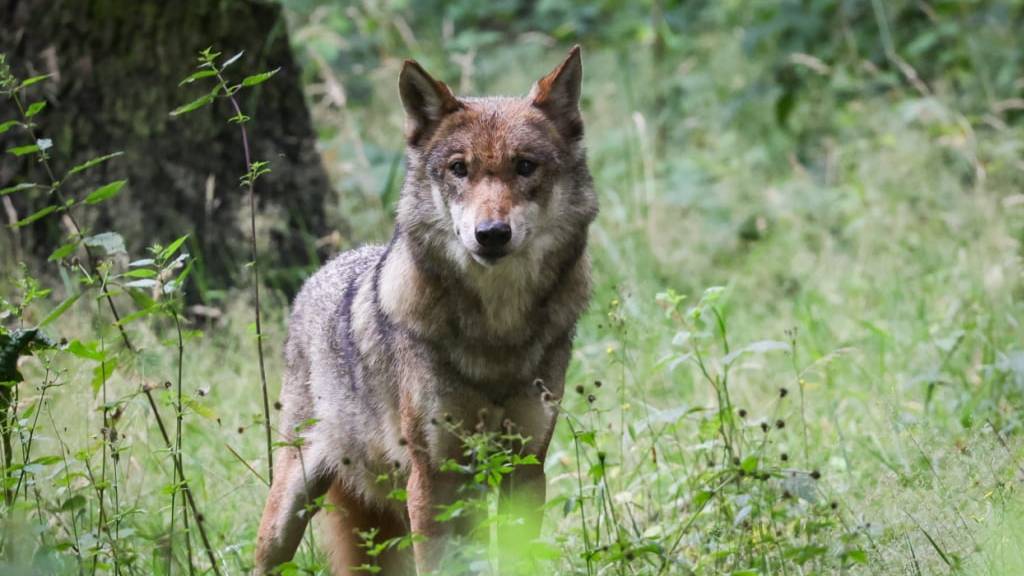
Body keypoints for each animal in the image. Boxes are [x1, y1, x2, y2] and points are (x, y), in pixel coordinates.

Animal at [256, 45, 598, 573]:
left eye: (525, 166)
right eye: (459, 168)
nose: (491, 234)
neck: (496, 333)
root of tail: (321, 271)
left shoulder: (525, 467)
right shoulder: (434, 476)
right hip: (290, 509)